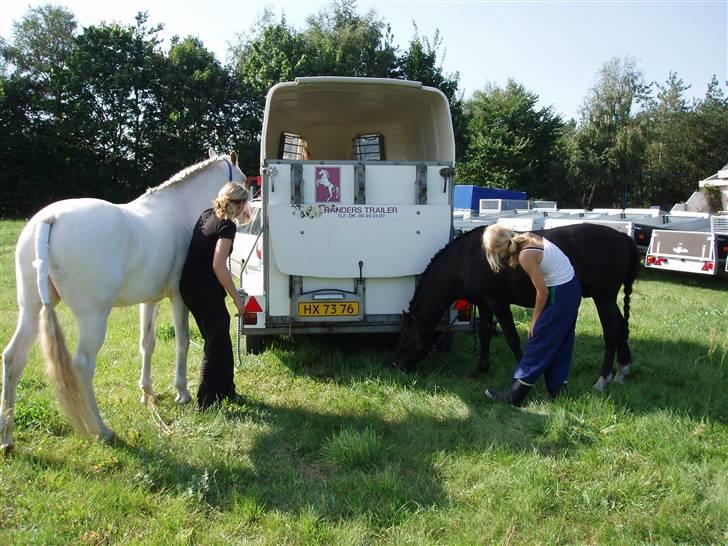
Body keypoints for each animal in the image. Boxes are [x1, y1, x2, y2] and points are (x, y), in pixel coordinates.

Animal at [0, 147, 246, 448]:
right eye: (245, 180)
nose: (247, 217)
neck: (178, 210)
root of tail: (50, 220)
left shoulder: (149, 301)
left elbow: (147, 344)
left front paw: (147, 393)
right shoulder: (178, 298)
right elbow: (183, 342)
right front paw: (182, 392)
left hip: (31, 309)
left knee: (14, 357)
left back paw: (7, 438)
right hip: (93, 317)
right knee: (82, 365)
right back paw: (101, 430)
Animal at [396, 223, 640, 388]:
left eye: (406, 338)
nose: (397, 365)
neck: (465, 259)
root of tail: (623, 237)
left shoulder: (498, 302)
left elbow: (512, 338)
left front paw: (524, 374)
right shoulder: (485, 304)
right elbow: (485, 335)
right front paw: (482, 369)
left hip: (603, 297)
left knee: (611, 332)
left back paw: (603, 379)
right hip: (607, 299)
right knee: (621, 328)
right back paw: (622, 369)